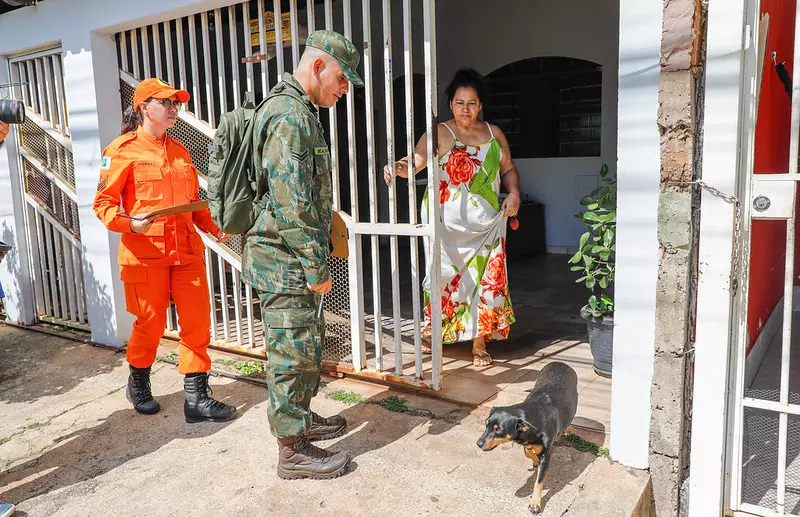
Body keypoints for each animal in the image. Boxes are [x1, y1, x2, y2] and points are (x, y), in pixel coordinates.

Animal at [476, 360, 576, 512]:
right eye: (486, 424)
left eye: (498, 430)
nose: (478, 443)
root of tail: (560, 362)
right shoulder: (526, 440)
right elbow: (527, 452)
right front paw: (534, 458)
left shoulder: (546, 455)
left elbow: (538, 481)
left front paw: (535, 503)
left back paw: (568, 428)